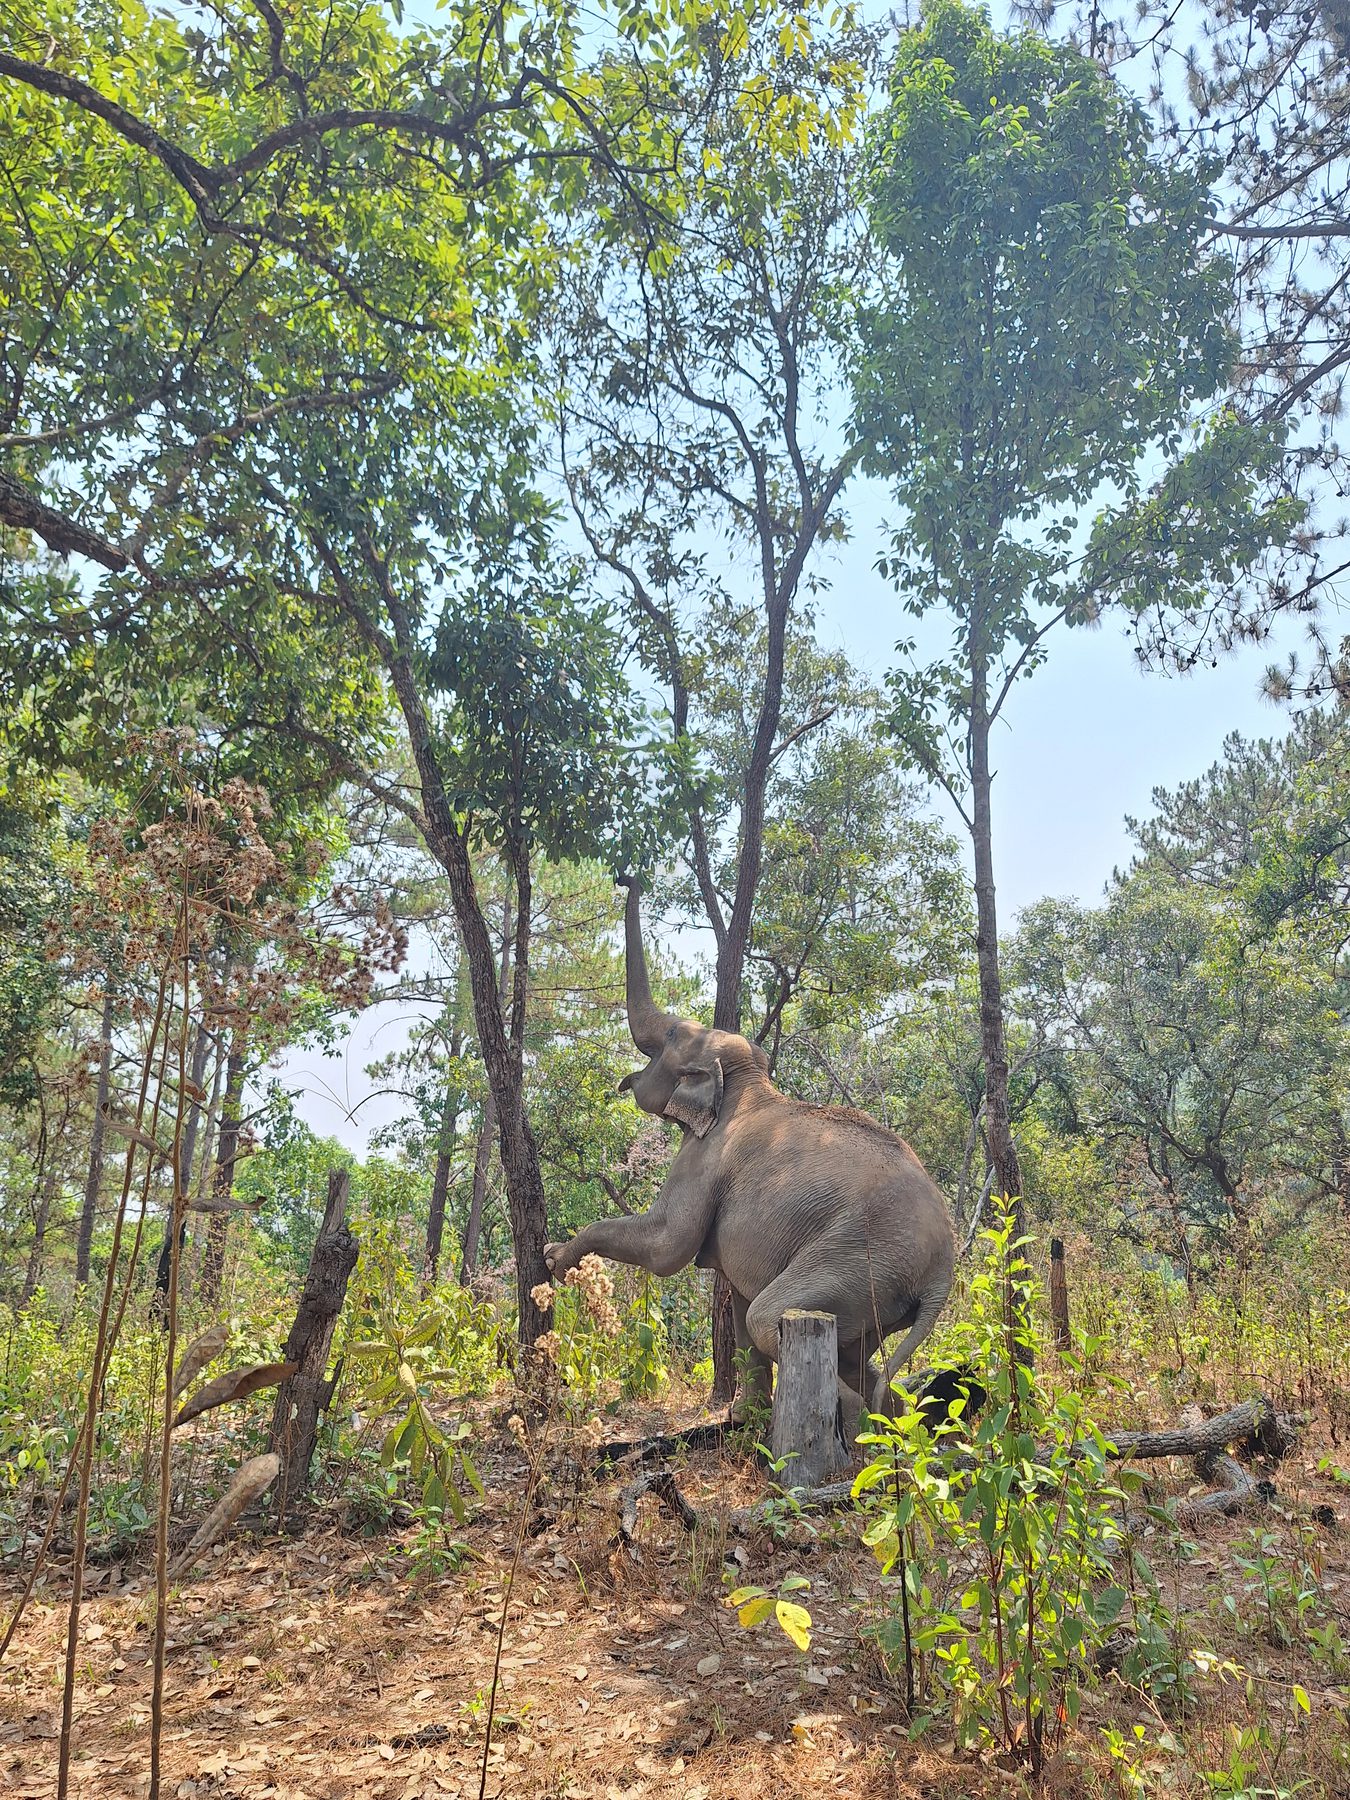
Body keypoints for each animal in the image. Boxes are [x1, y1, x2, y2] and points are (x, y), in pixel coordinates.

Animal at [543, 881, 955, 1436]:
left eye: (670, 1036)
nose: (629, 879)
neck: (746, 1080)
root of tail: (943, 1268)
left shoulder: (702, 1159)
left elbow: (667, 1247)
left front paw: (553, 1258)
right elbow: (733, 1294)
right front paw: (743, 1418)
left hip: (861, 1258)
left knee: (770, 1320)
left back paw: (856, 1425)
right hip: (877, 1285)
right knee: (851, 1349)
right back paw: (897, 1421)